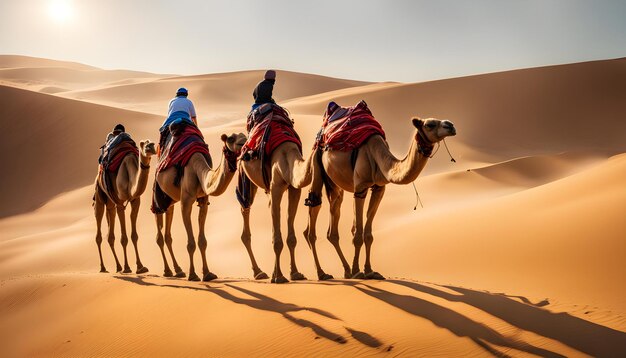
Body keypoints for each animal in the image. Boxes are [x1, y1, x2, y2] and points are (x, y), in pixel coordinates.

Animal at [93, 138, 156, 272]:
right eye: (143, 144)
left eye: (152, 142)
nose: (151, 146)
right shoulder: (120, 203)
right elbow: (124, 238)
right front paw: (128, 267)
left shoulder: (136, 200)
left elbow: (134, 236)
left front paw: (140, 266)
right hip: (99, 194)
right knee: (98, 231)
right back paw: (103, 267)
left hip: (110, 202)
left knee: (110, 234)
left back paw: (118, 266)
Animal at [154, 133, 246, 282]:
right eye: (231, 138)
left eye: (245, 135)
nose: (243, 144)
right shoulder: (185, 202)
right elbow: (190, 244)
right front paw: (193, 275)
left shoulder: (203, 200)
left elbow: (202, 241)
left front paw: (207, 274)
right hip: (158, 194)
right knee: (159, 234)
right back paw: (167, 271)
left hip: (170, 199)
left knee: (168, 231)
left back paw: (178, 270)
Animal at [238, 141, 314, 284]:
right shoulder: (276, 187)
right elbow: (277, 241)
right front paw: (279, 277)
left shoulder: (294, 188)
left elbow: (291, 238)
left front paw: (295, 273)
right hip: (245, 177)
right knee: (245, 207)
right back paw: (259, 272)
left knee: (268, 207)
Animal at [302, 117, 454, 280]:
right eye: (430, 124)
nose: (451, 125)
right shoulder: (360, 187)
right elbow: (358, 235)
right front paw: (357, 271)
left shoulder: (379, 188)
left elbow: (368, 235)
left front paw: (369, 271)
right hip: (316, 164)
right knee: (313, 211)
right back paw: (323, 273)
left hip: (335, 185)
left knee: (333, 222)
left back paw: (346, 271)